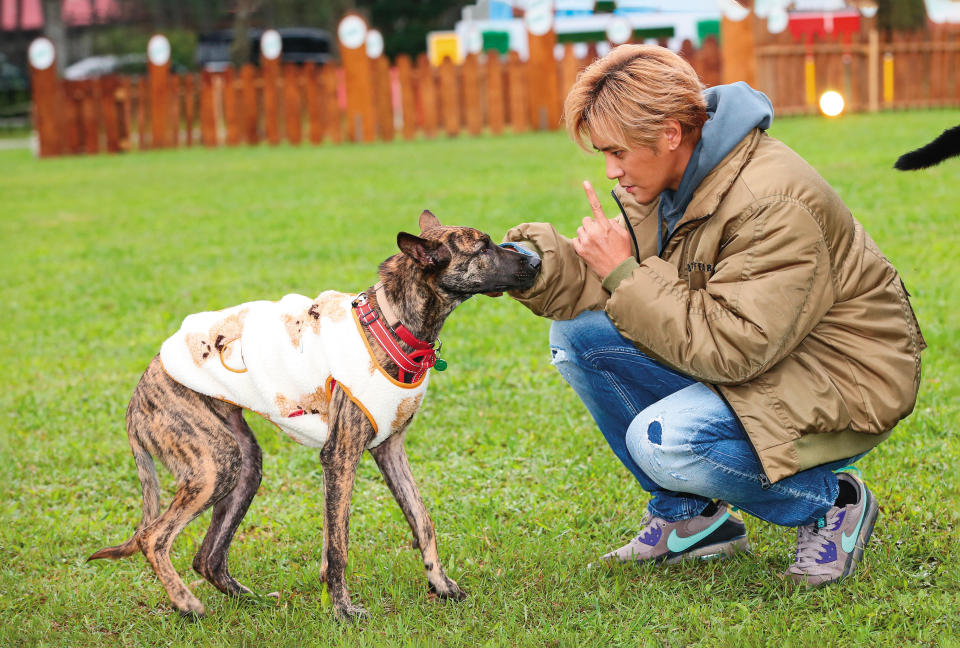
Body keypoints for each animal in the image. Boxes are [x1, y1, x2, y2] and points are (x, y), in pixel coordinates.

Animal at [88, 211, 540, 616]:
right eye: (483, 247)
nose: (535, 261)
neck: (393, 323)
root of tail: (137, 394)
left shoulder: (389, 450)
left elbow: (421, 521)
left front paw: (441, 586)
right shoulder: (340, 457)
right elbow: (338, 546)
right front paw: (342, 610)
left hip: (244, 466)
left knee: (207, 557)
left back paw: (248, 601)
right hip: (216, 465)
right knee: (152, 538)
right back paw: (186, 604)